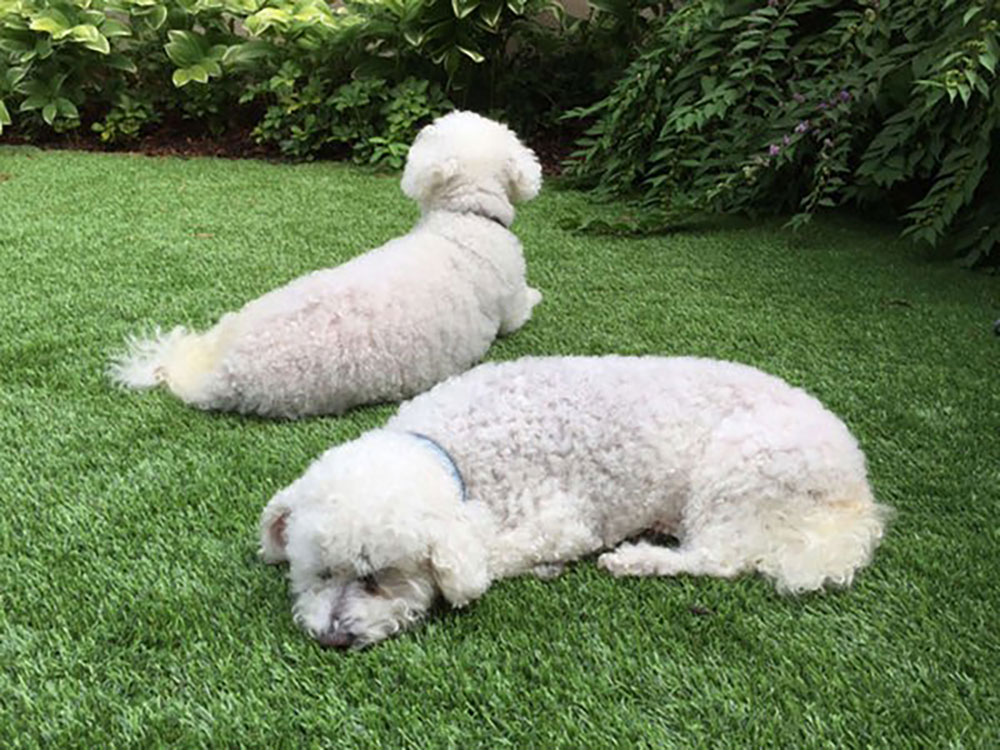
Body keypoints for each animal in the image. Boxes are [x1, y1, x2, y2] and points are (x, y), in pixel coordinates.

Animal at [258, 356, 892, 648]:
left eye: (378, 578)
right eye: (319, 573)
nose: (333, 637)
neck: (452, 449)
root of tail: (857, 489)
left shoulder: (561, 519)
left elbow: (491, 556)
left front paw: (536, 567)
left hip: (736, 467)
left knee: (722, 558)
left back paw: (638, 560)